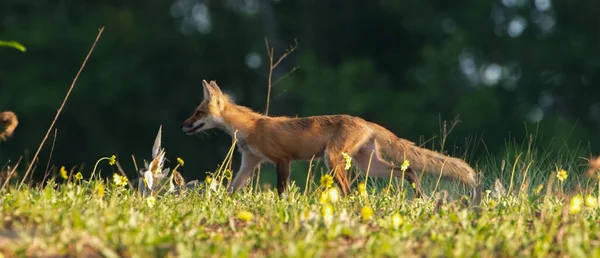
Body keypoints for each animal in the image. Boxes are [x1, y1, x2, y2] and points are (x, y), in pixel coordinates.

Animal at [179, 80, 478, 198]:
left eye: (198, 112)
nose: (183, 126)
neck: (250, 128)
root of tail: (366, 122)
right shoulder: (249, 163)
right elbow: (231, 190)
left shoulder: (282, 160)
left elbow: (281, 191)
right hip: (368, 166)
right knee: (408, 170)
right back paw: (419, 197)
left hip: (332, 160)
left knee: (348, 190)